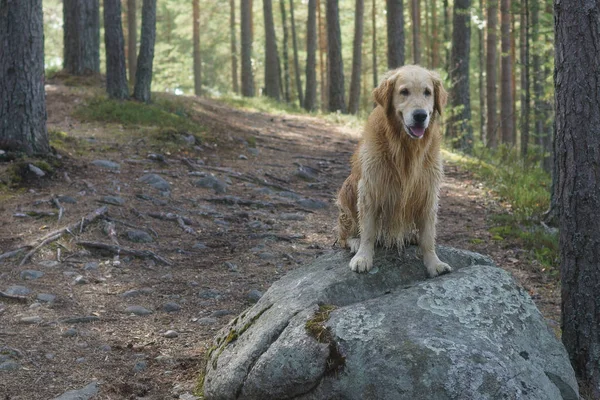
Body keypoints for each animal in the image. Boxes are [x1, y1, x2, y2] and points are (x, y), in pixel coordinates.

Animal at [338, 65, 450, 278]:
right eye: (404, 91)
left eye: (427, 92)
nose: (420, 115)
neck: (405, 146)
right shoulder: (370, 187)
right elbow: (368, 230)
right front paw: (363, 257)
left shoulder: (428, 190)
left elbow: (428, 236)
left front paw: (434, 263)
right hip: (347, 188)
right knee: (346, 233)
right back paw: (354, 241)